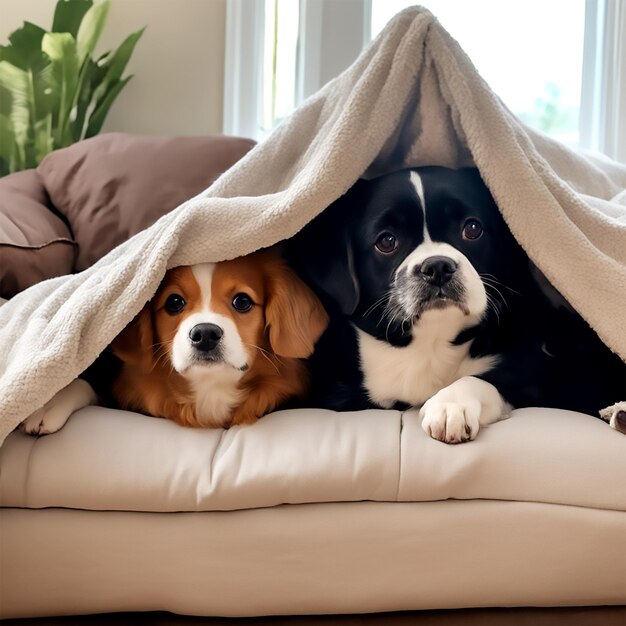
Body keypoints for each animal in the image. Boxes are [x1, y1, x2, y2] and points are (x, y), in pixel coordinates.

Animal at [288, 163, 624, 442]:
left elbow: (484, 380)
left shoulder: (536, 378)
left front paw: (450, 406)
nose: (437, 267)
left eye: (472, 228)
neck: (428, 347)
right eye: (386, 241)